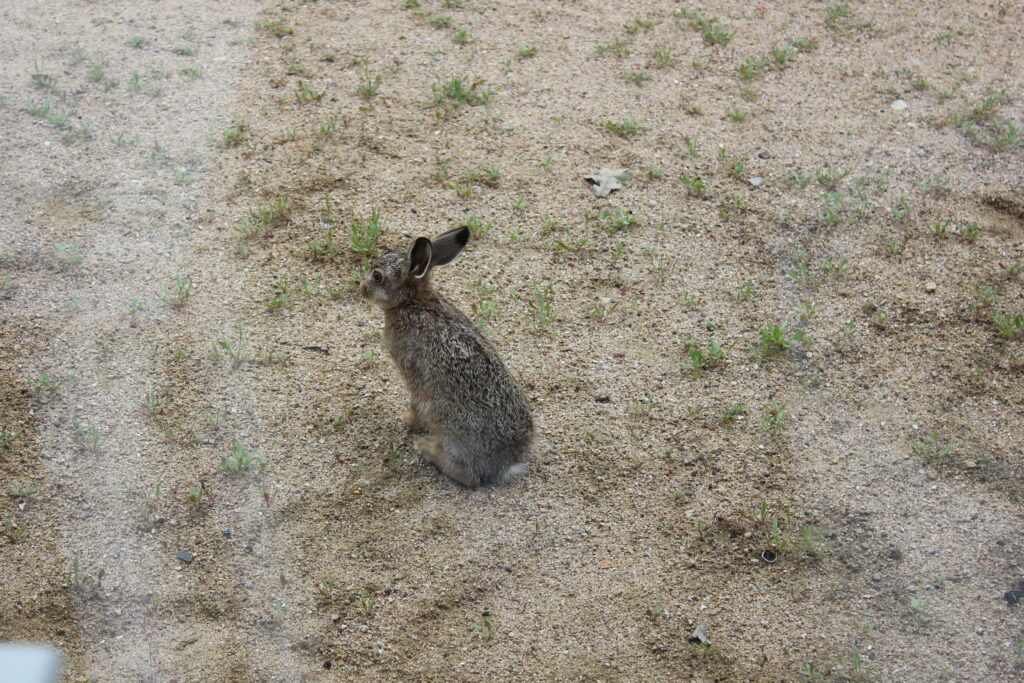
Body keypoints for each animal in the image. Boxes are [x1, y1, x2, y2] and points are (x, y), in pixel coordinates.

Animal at [359, 226, 533, 487]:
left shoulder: (414, 379)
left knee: (470, 477)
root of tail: (506, 464)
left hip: (446, 425)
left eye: (377, 276)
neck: (413, 302)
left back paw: (426, 448)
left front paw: (407, 421)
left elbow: (414, 403)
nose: (362, 289)